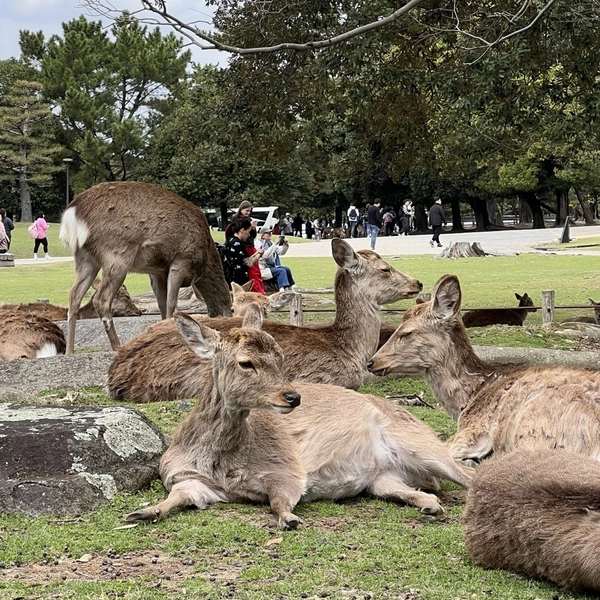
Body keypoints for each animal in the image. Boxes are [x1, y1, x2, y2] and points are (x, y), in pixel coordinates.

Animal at [59, 180, 232, 354]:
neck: (204, 261)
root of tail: (72, 214)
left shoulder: (157, 272)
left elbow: (161, 304)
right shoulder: (181, 259)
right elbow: (171, 304)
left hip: (84, 259)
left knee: (74, 296)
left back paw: (69, 351)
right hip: (117, 253)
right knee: (101, 299)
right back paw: (117, 347)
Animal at [125, 308, 474, 528]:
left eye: (280, 356)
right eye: (245, 362)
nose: (292, 397)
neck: (222, 463)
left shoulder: (286, 469)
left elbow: (280, 499)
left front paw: (289, 519)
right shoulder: (188, 479)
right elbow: (178, 497)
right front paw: (142, 512)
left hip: (420, 443)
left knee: (468, 474)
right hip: (383, 478)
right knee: (412, 489)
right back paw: (430, 505)